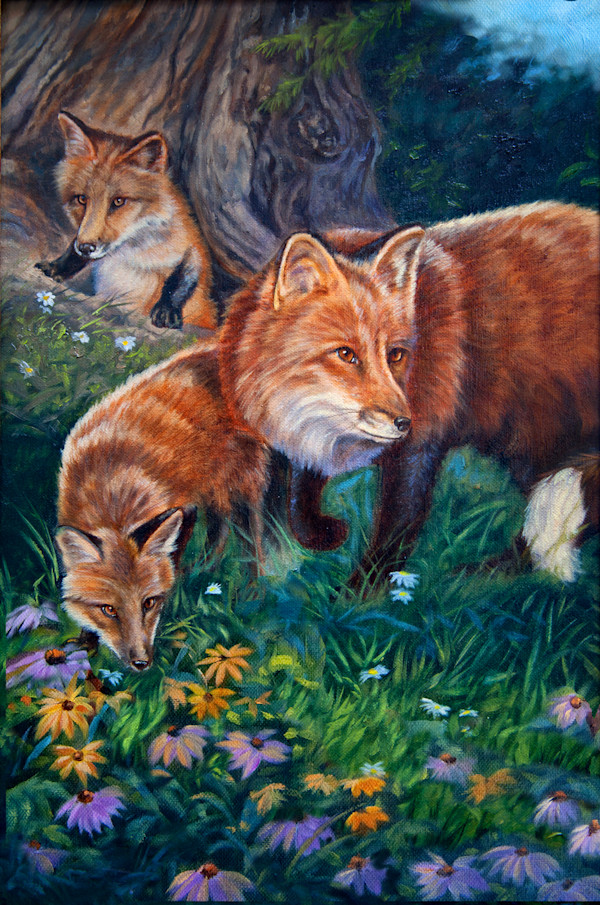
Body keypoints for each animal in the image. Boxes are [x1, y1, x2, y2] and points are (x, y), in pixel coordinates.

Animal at [36, 111, 216, 330]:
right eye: (82, 199)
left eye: (118, 201)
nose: (86, 248)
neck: (127, 255)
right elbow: (72, 251)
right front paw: (57, 267)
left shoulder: (190, 244)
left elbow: (184, 274)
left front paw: (166, 310)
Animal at [55, 341, 269, 671]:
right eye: (108, 610)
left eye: (149, 603)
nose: (142, 663)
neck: (111, 494)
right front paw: (86, 641)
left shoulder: (180, 505)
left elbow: (175, 558)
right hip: (213, 486)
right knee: (220, 528)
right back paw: (204, 570)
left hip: (239, 482)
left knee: (249, 536)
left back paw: (250, 594)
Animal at [218, 201, 599, 582]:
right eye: (346, 354)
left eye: (395, 354)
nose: (403, 422)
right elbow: (299, 500)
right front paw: (323, 534)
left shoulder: (421, 444)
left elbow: (394, 535)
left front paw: (364, 592)